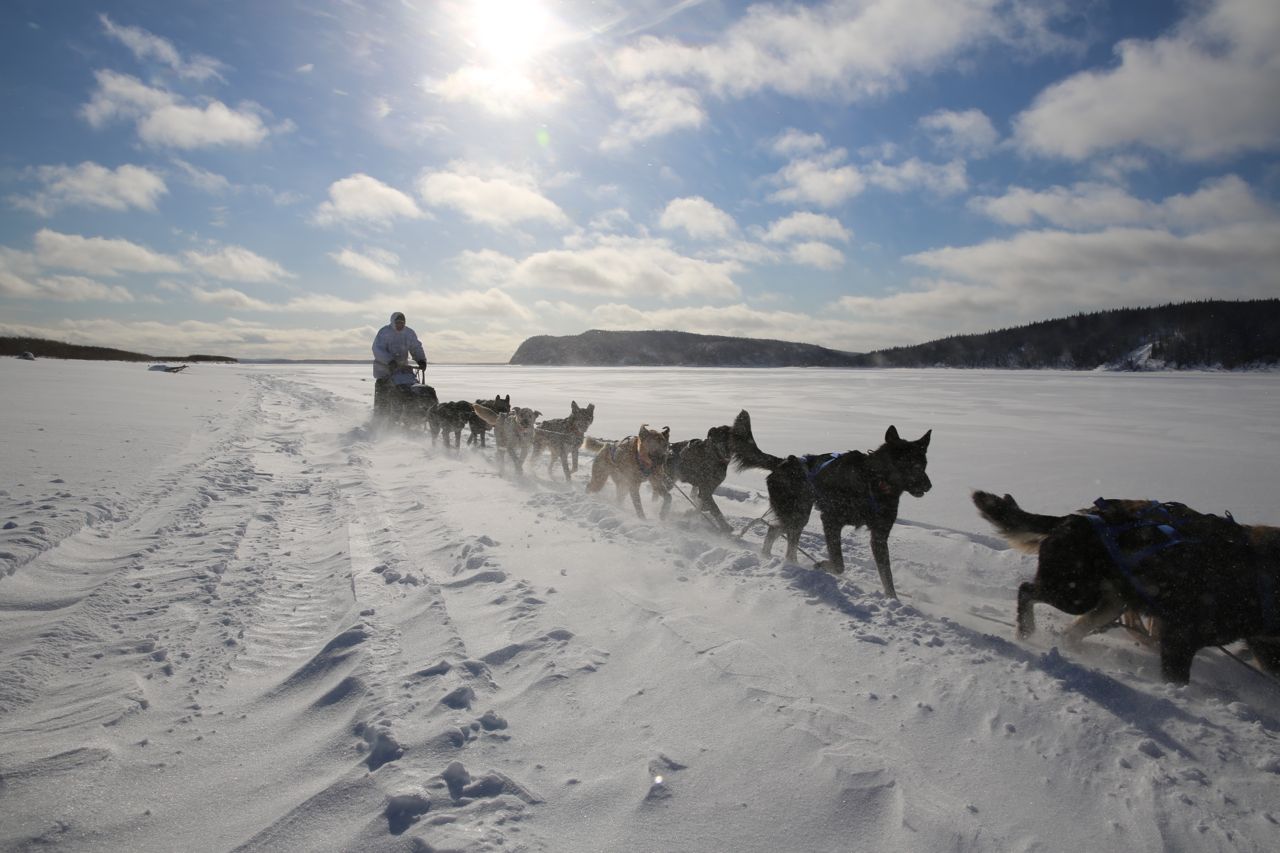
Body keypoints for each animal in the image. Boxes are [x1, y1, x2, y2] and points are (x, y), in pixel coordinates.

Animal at [732, 407, 931, 594]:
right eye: (914, 465)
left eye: (924, 464)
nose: (929, 486)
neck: (873, 481)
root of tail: (783, 462)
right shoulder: (831, 520)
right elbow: (839, 563)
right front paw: (822, 565)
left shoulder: (879, 536)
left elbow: (887, 578)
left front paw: (892, 599)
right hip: (798, 514)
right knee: (784, 538)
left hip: (796, 514)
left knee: (775, 532)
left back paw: (779, 560)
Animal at [967, 489, 1280, 681]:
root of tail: (1071, 519)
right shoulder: (1179, 637)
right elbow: (1177, 678)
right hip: (1075, 594)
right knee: (1026, 590)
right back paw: (1026, 630)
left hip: (1110, 602)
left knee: (1071, 631)